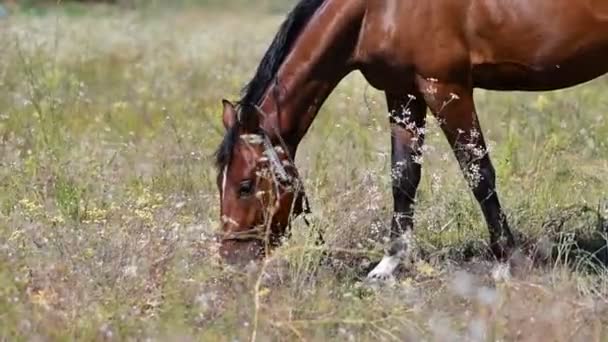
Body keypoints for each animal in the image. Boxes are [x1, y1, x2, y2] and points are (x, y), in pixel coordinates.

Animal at [213, 0, 608, 280]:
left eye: (245, 185)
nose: (232, 261)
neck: (377, 9)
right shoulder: (402, 92)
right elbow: (403, 175)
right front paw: (389, 264)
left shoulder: (445, 87)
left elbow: (478, 173)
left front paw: (504, 261)